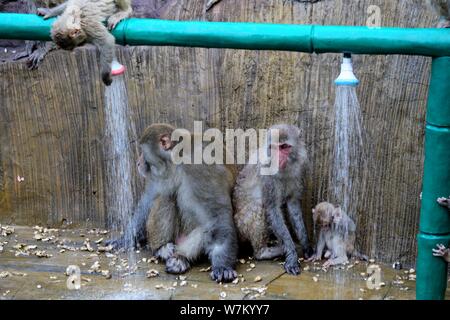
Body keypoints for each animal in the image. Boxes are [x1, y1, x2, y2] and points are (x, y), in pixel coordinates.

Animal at [107, 123, 239, 282]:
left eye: (143, 152)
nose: (138, 163)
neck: (177, 162)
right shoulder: (159, 174)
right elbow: (149, 199)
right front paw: (125, 239)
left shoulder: (203, 168)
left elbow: (217, 216)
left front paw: (223, 266)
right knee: (166, 197)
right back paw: (162, 249)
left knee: (206, 227)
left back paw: (180, 258)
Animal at [232, 124, 310, 276]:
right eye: (273, 147)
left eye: (284, 147)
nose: (277, 159)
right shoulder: (267, 175)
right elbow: (272, 209)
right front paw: (291, 254)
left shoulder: (298, 171)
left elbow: (293, 204)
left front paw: (306, 243)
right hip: (242, 225)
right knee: (259, 206)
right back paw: (263, 252)